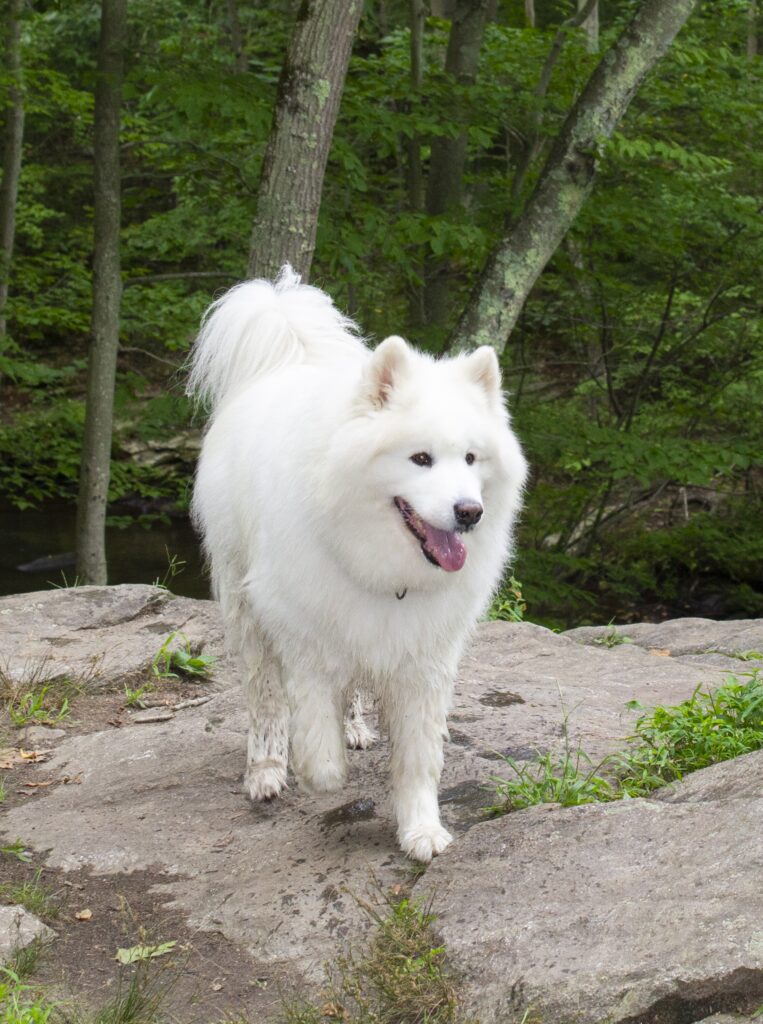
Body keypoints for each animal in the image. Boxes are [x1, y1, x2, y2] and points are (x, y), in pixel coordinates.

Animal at [187, 266, 527, 862]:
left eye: (470, 458)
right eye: (420, 458)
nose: (470, 512)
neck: (379, 563)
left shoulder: (422, 656)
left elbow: (418, 757)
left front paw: (421, 830)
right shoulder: (303, 634)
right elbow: (313, 732)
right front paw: (318, 772)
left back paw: (355, 729)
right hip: (245, 610)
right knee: (264, 698)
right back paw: (266, 770)